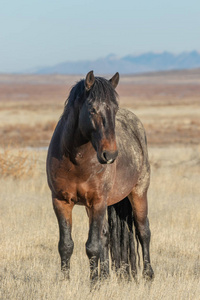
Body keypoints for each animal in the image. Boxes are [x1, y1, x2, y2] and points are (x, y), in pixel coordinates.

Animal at [46, 71, 154, 284]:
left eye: (115, 108)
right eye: (93, 109)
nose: (110, 155)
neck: (76, 160)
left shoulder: (97, 201)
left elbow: (92, 246)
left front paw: (93, 284)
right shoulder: (61, 201)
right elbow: (66, 245)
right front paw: (66, 282)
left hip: (138, 193)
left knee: (143, 231)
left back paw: (148, 275)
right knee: (105, 237)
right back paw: (104, 276)